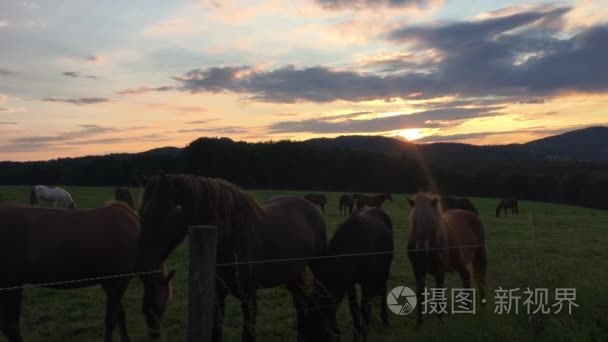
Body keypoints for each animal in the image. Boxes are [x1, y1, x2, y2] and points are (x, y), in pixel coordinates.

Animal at [0, 202, 176, 342]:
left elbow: (120, 315)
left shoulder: (110, 284)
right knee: (11, 327)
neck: (138, 240)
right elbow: (111, 320)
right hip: (11, 286)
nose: (155, 334)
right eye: (162, 305)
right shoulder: (118, 283)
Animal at [138, 174, 328, 342]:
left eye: (169, 210)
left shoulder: (249, 296)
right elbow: (216, 332)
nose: (145, 262)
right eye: (141, 212)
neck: (231, 237)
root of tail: (311, 206)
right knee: (301, 305)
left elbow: (248, 334)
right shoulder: (217, 296)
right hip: (291, 276)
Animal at [304, 208, 394, 342]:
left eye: (317, 325)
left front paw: (364, 334)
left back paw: (385, 320)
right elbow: (354, 307)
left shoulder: (366, 282)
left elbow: (363, 307)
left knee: (383, 290)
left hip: (384, 269)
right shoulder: (350, 283)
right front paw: (356, 333)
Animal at [406, 192, 486, 328]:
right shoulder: (417, 270)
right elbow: (420, 294)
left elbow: (439, 295)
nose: (421, 250)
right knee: (466, 276)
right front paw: (419, 324)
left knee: (479, 278)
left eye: (431, 222)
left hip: (479, 255)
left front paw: (440, 321)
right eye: (414, 221)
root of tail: (473, 215)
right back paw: (467, 308)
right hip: (459, 263)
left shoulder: (440, 271)